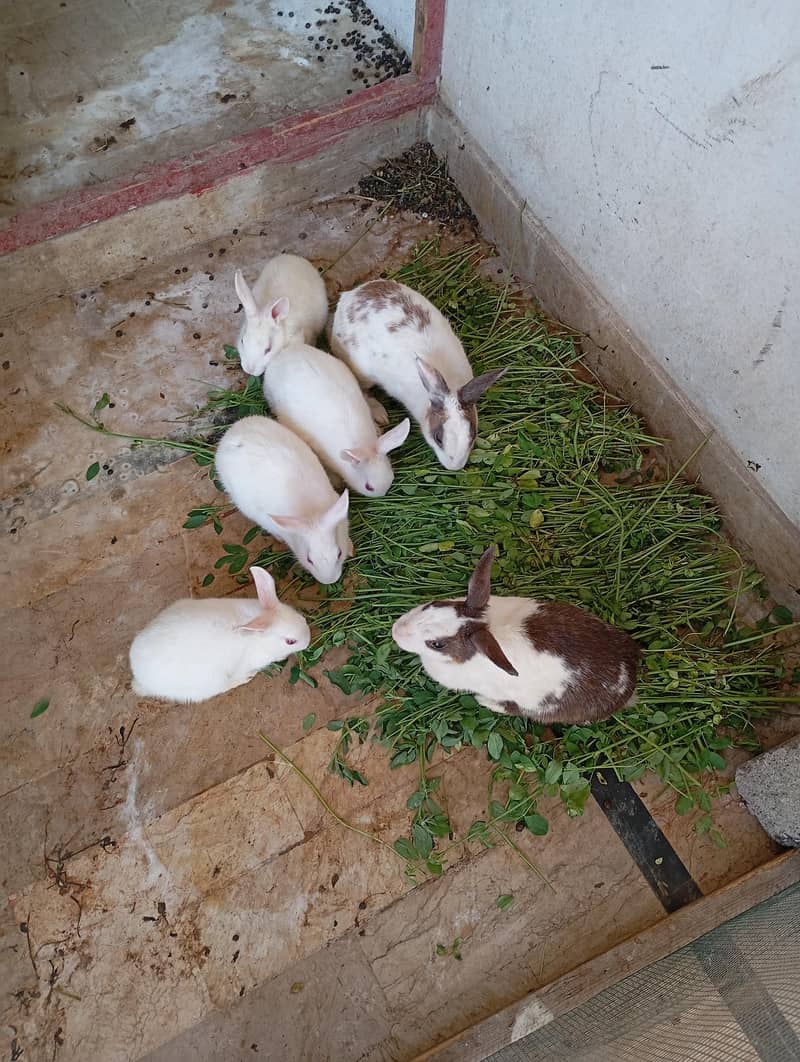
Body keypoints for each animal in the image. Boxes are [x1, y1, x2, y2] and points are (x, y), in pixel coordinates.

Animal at [129, 566, 310, 703]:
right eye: (290, 641)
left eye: (302, 617)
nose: (308, 641)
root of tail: (140, 678)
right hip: (211, 681)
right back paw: (245, 678)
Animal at [262, 342, 411, 496]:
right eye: (368, 487)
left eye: (391, 476)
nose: (381, 495)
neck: (364, 445)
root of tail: (285, 352)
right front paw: (337, 482)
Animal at [329, 279, 506, 471]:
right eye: (438, 438)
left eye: (472, 434)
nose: (455, 467)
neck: (448, 385)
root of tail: (349, 296)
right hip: (361, 371)